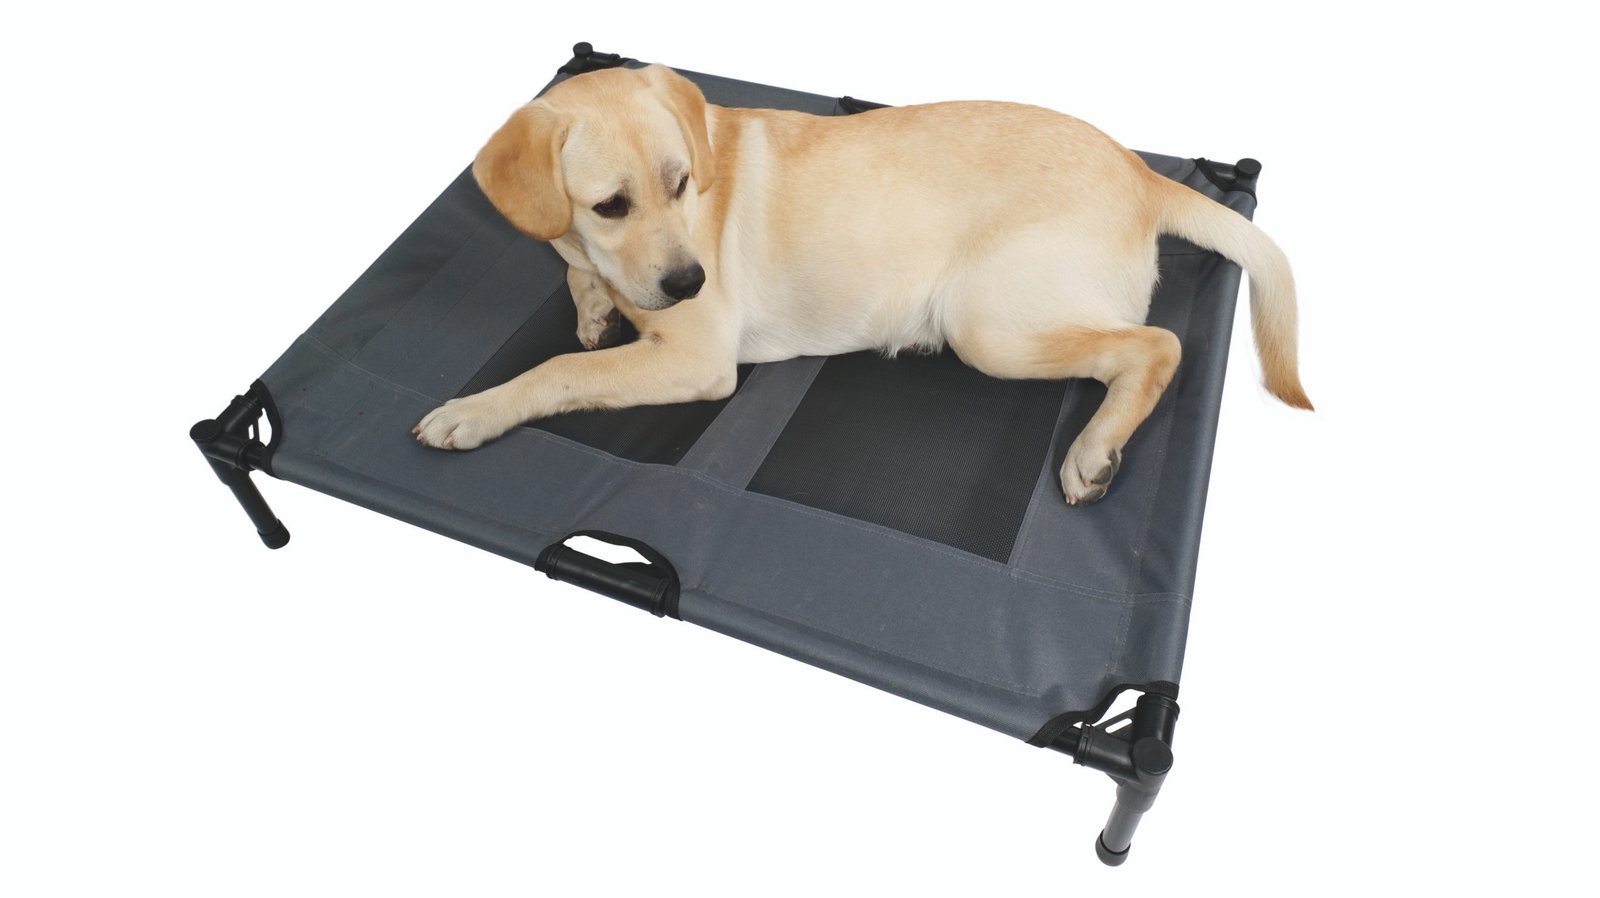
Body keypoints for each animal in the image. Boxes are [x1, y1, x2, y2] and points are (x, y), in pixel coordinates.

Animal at [413, 65, 1311, 504]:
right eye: (610, 205)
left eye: (682, 183)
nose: (693, 279)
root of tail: (1141, 171)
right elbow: (576, 284)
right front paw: (595, 304)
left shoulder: (695, 358)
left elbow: (559, 371)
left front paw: (474, 410)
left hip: (988, 324)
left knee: (1156, 345)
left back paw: (1095, 449)